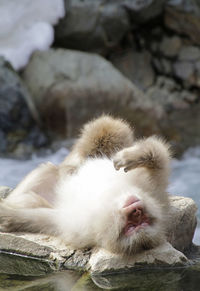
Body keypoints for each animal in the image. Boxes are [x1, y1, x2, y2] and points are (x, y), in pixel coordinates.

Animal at [0, 116, 171, 256]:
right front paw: (133, 157)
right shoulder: (150, 187)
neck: (110, 198)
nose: (136, 211)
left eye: (136, 224)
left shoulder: (78, 228)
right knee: (108, 129)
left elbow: (44, 219)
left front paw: (9, 216)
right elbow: (159, 159)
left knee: (31, 199)